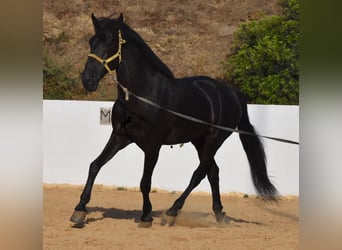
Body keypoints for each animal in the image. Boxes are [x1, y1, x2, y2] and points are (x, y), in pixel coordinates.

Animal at [69, 14, 278, 228]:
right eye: (91, 42)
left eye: (109, 41)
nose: (87, 80)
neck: (142, 95)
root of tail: (233, 94)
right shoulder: (120, 137)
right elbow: (94, 166)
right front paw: (80, 210)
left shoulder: (153, 145)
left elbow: (145, 182)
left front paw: (146, 216)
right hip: (199, 141)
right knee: (213, 172)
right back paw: (219, 214)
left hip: (214, 140)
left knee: (199, 174)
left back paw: (172, 212)